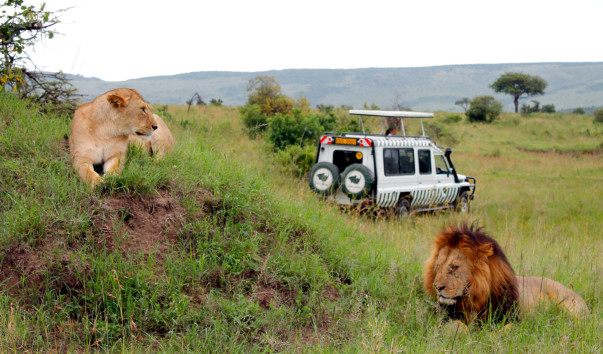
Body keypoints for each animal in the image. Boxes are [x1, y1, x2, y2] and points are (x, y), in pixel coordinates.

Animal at [424, 225, 588, 324]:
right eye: (438, 266)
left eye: (454, 267)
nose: (438, 287)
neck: (475, 298)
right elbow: (457, 327)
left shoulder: (512, 318)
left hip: (569, 305)